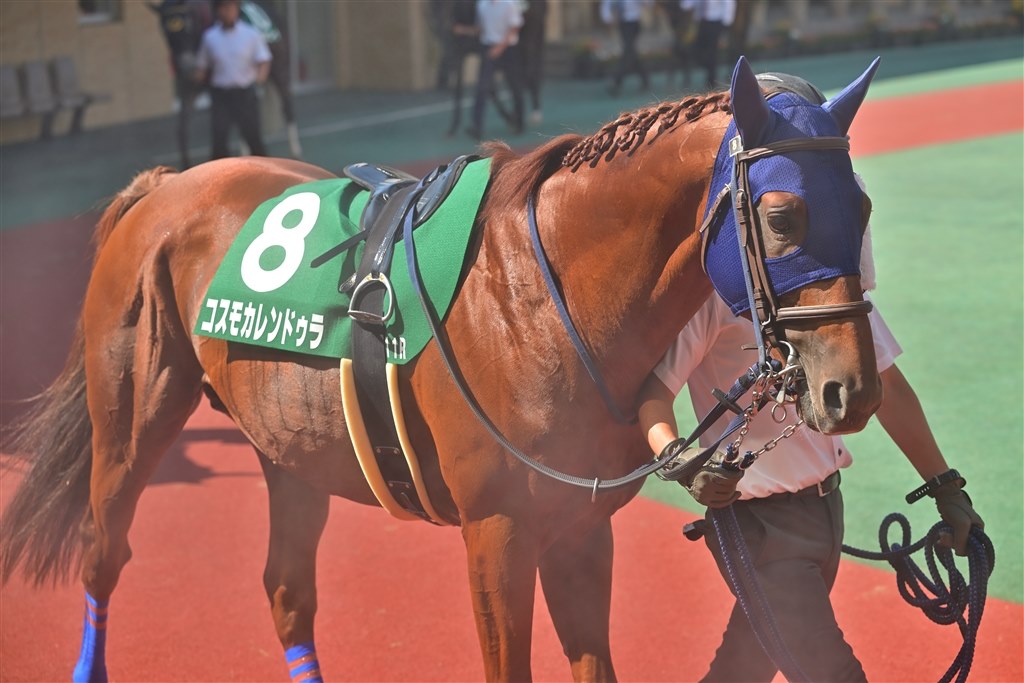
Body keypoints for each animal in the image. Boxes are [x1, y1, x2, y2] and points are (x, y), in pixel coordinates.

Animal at [1, 57, 883, 682]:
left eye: (864, 207)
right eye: (783, 215)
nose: (852, 386)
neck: (544, 295)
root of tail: (164, 185)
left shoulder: (579, 527)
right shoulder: (497, 532)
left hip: (290, 448)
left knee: (287, 590)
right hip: (131, 422)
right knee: (103, 553)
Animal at [151, 0, 301, 169]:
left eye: (189, 24)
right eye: (164, 31)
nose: (188, 66)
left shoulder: (215, 88)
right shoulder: (188, 87)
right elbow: (182, 129)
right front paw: (185, 166)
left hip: (280, 68)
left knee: (286, 106)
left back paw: (294, 151)